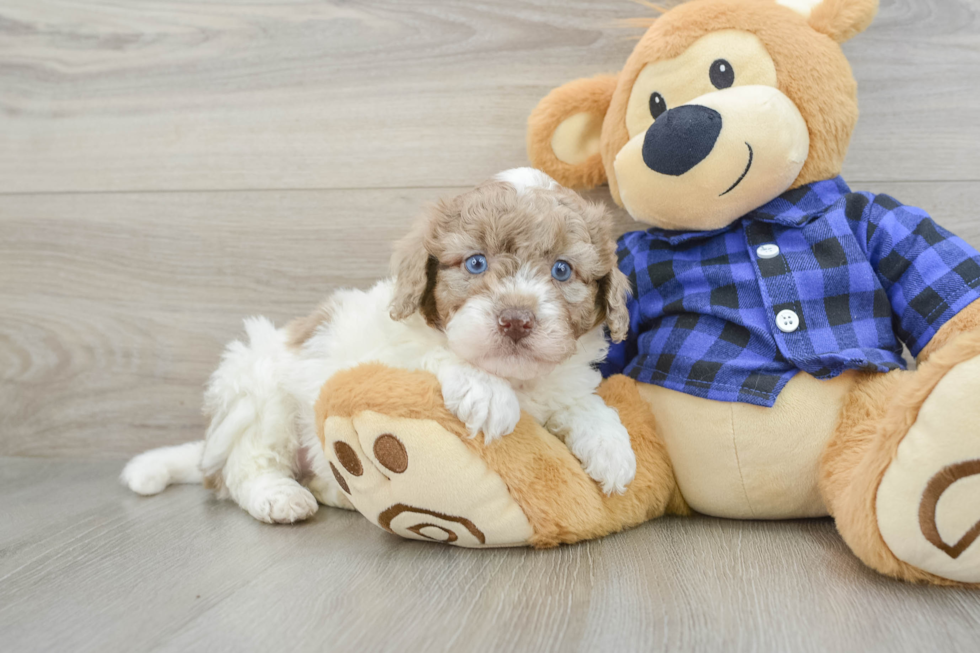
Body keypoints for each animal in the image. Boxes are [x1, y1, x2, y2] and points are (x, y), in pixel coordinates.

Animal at [120, 169, 636, 524]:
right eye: (475, 263)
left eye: (562, 270)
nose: (516, 319)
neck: (515, 377)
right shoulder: (386, 353)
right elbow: (433, 354)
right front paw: (487, 394)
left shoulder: (561, 383)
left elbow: (581, 403)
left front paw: (612, 447)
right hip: (258, 391)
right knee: (243, 467)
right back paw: (280, 496)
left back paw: (335, 491)